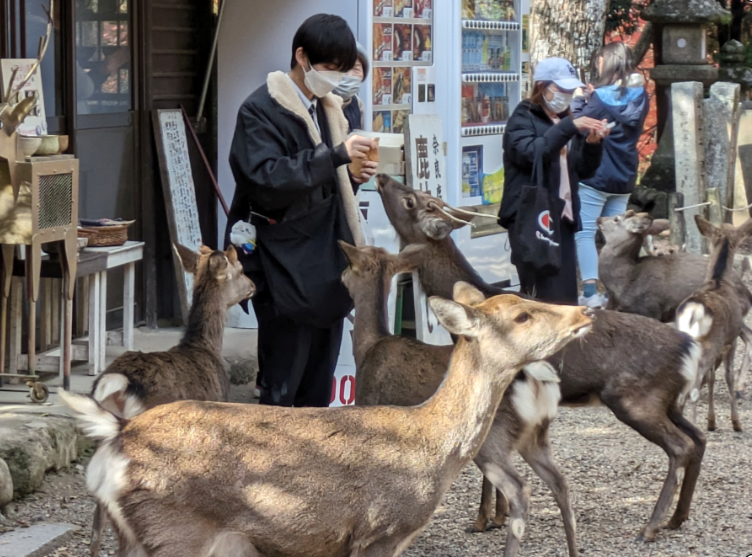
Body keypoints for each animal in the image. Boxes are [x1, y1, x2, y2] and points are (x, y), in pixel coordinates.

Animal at [58, 284, 592, 556]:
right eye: (522, 316)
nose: (583, 310)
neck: (431, 447)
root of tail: (117, 435)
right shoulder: (378, 530)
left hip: (137, 534)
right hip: (173, 529)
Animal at [344, 241, 580, 556]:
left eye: (349, 265)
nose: (341, 278)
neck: (368, 348)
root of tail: (537, 377)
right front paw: (493, 518)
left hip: (495, 438)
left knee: (521, 488)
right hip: (534, 435)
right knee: (561, 483)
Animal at [378, 175, 708, 544]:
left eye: (410, 200)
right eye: (419, 195)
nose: (382, 177)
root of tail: (691, 348)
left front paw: (484, 518)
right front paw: (495, 516)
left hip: (636, 399)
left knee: (681, 446)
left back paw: (650, 526)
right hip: (669, 401)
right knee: (699, 438)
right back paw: (677, 517)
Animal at [676, 215, 752, 432]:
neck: (718, 280)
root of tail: (694, 311)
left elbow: (711, 378)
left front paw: (711, 421)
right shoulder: (730, 341)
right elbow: (728, 376)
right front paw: (736, 423)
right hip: (708, 344)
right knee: (693, 388)